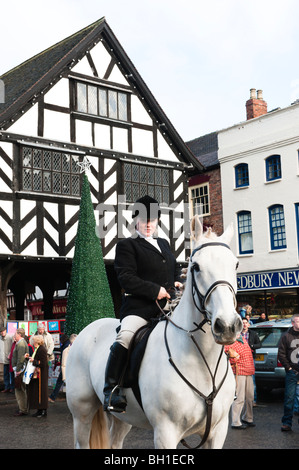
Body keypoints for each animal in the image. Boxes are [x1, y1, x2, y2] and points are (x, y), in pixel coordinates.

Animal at [66, 217, 244, 448]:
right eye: (196, 267)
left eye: (235, 264)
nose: (228, 326)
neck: (202, 360)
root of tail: (88, 328)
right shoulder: (165, 432)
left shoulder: (217, 432)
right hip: (82, 412)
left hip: (124, 417)